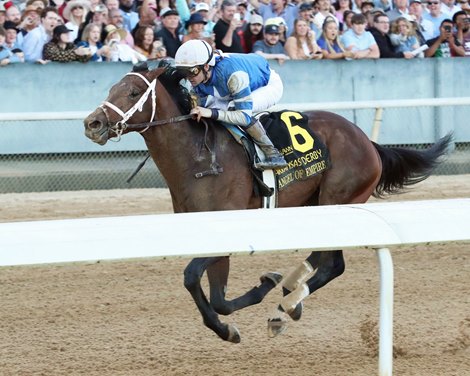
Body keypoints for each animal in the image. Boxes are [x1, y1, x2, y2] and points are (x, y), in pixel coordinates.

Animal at [83, 64, 448, 344]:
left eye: (133, 92)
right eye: (112, 88)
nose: (92, 123)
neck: (199, 158)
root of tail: (368, 142)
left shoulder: (226, 227)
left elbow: (193, 279)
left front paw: (247, 307)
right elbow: (217, 297)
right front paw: (244, 310)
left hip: (339, 199)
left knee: (333, 264)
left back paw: (285, 307)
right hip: (316, 205)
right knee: (322, 259)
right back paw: (289, 293)